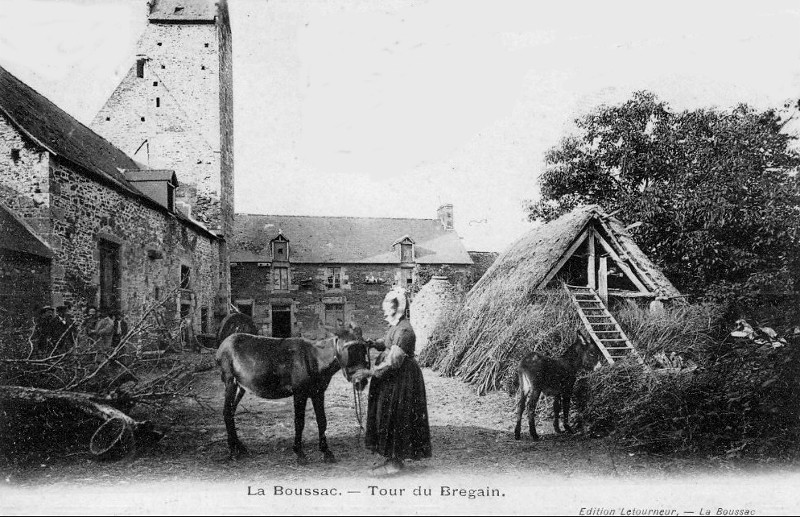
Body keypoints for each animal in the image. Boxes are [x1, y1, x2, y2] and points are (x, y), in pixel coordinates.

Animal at [217, 322, 370, 464]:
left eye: (364, 349)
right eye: (348, 350)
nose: (361, 382)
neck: (316, 359)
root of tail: (224, 343)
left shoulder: (318, 392)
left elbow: (322, 421)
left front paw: (326, 452)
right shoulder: (299, 393)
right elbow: (299, 422)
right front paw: (299, 453)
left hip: (241, 386)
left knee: (231, 412)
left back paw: (239, 447)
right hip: (230, 381)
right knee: (226, 412)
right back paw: (233, 451)